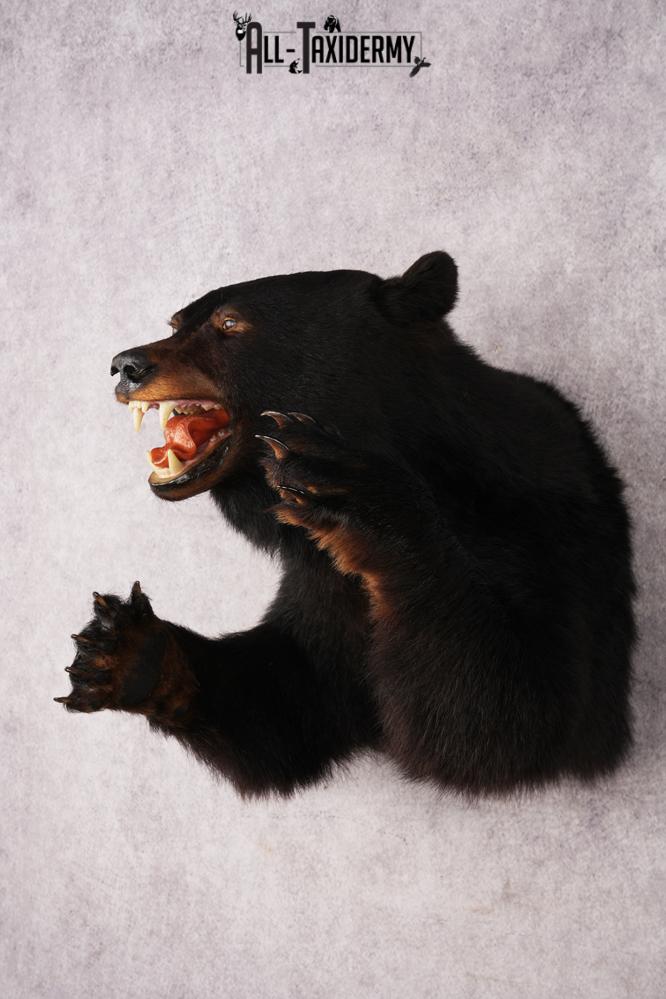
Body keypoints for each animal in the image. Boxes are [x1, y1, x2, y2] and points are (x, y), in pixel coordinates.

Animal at [55, 252, 635, 798]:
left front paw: (347, 489)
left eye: (230, 323)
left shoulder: (544, 535)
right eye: (176, 322)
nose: (125, 365)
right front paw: (126, 650)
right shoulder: (318, 583)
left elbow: (508, 717)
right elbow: (288, 698)